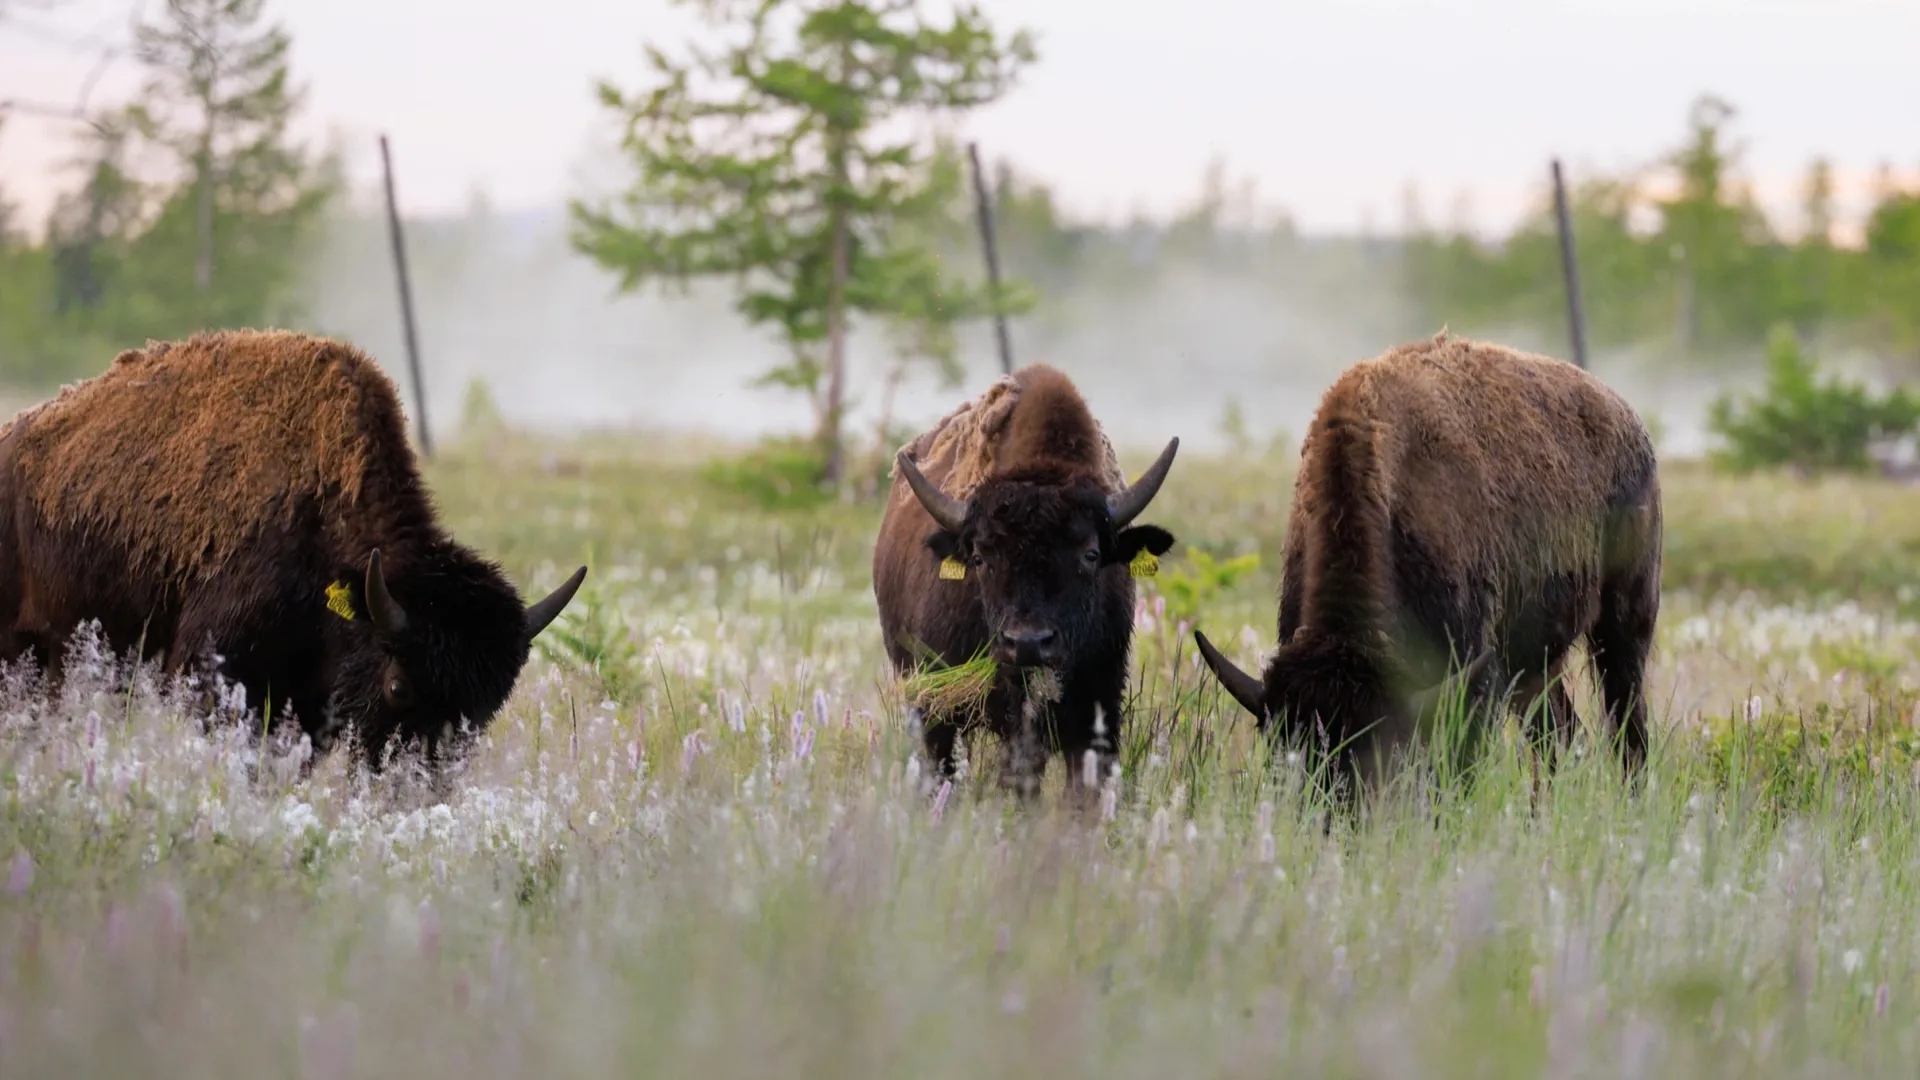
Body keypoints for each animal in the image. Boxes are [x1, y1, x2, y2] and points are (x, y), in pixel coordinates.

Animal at [1190, 332, 1658, 795]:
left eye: (1379, 756)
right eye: (1281, 755)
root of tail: (1631, 423)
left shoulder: (1472, 674)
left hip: (1625, 625)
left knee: (1628, 731)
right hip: (1537, 663)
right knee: (1561, 734)